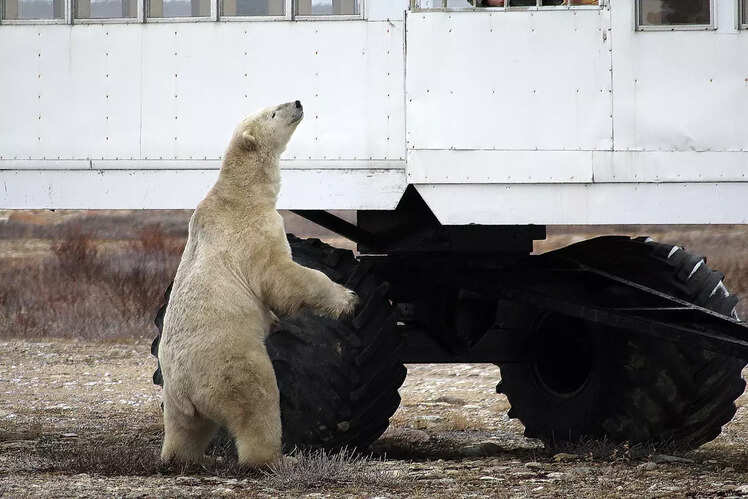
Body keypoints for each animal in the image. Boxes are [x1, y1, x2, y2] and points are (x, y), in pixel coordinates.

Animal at [158, 100, 358, 467]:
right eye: (273, 112)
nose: (298, 102)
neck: (240, 193)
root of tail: (188, 389)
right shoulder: (254, 232)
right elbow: (284, 276)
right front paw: (348, 299)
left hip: (176, 398)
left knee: (185, 429)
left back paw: (183, 457)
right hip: (233, 364)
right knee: (258, 404)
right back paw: (278, 458)